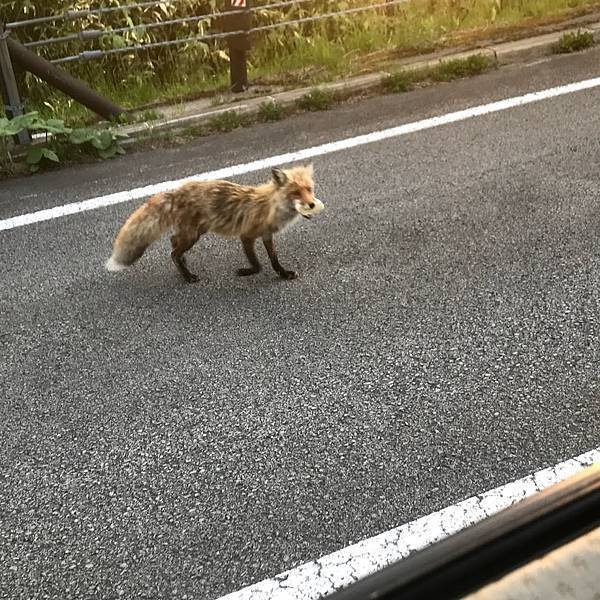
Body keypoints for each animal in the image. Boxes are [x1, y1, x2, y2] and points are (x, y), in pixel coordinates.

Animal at [105, 164, 326, 284]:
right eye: (296, 193)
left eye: (309, 189)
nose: (312, 204)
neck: (271, 208)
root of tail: (175, 192)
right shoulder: (246, 236)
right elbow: (258, 265)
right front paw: (245, 272)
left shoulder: (267, 236)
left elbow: (273, 261)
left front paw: (283, 274)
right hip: (193, 235)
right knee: (173, 251)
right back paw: (187, 276)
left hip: (195, 232)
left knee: (173, 240)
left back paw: (183, 262)